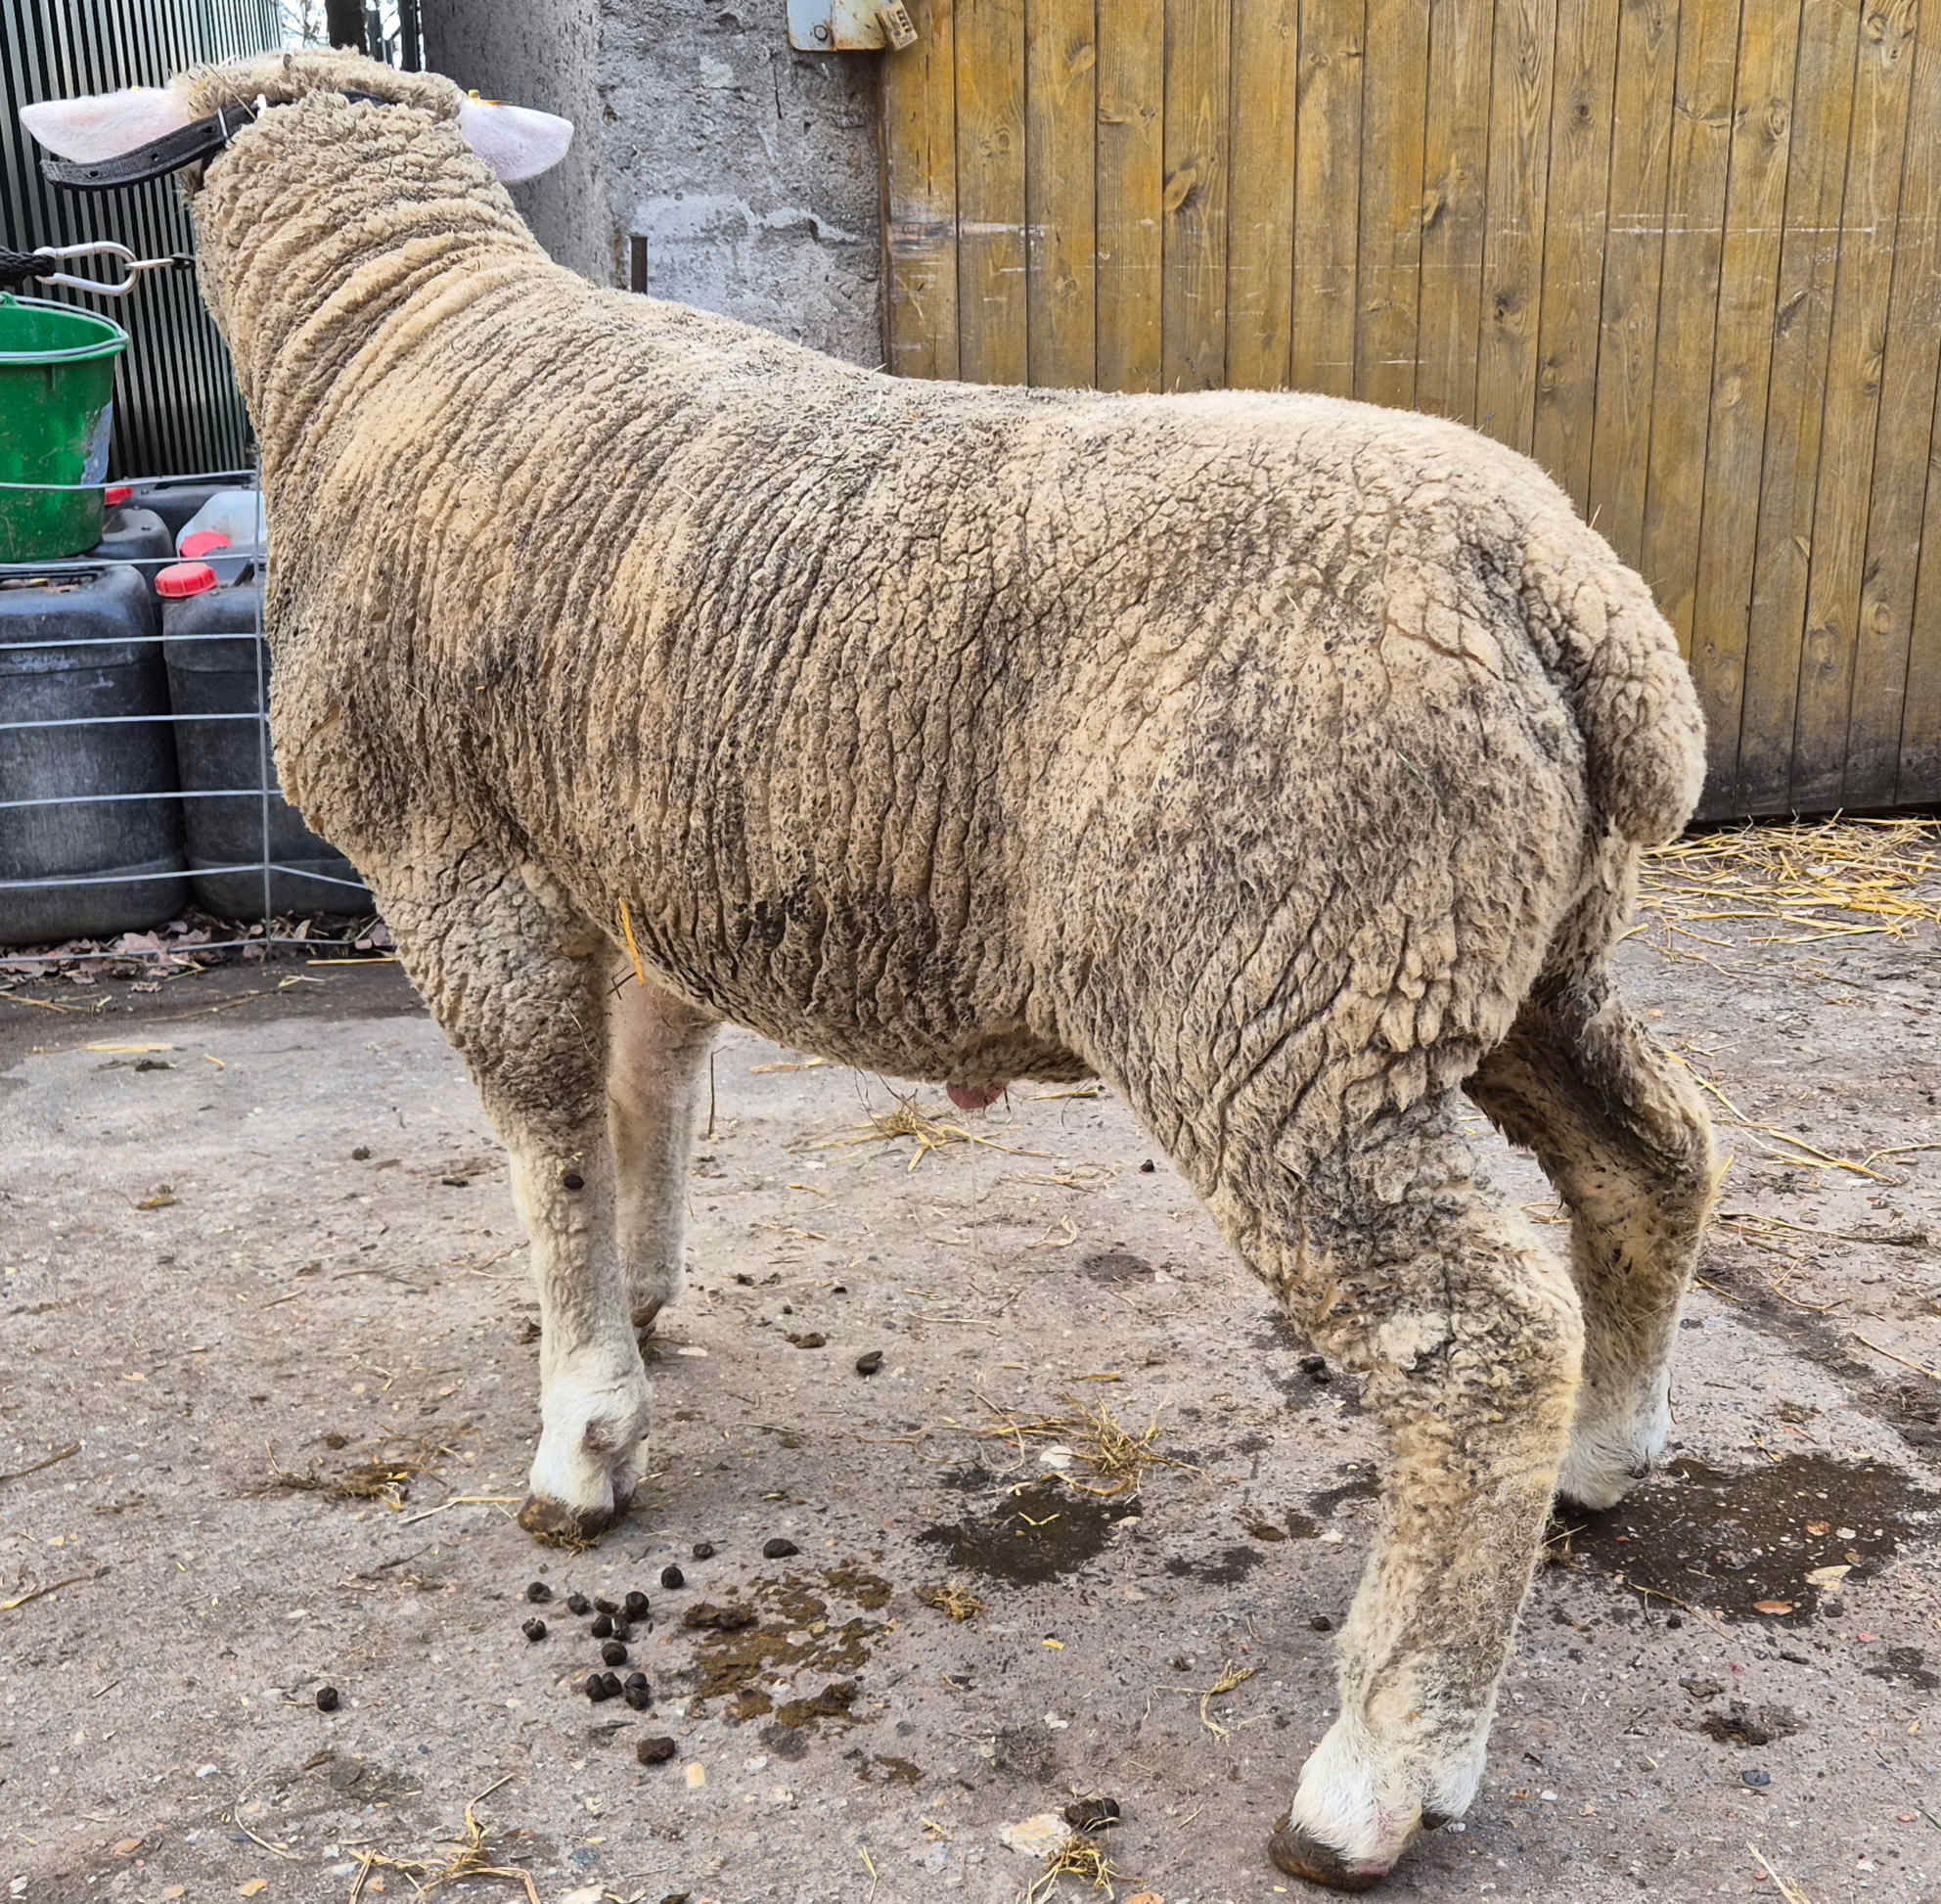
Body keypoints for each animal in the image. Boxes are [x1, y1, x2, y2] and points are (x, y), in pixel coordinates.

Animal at [26, 50, 1716, 1891]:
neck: (402, 334)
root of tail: (1563, 597)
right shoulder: (641, 868)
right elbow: (647, 1100)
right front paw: (641, 1298)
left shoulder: (457, 863)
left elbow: (549, 1145)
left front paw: (583, 1435)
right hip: (1505, 953)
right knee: (1649, 1159)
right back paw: (1610, 1453)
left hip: (1280, 993)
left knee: (1472, 1342)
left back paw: (1380, 1769)